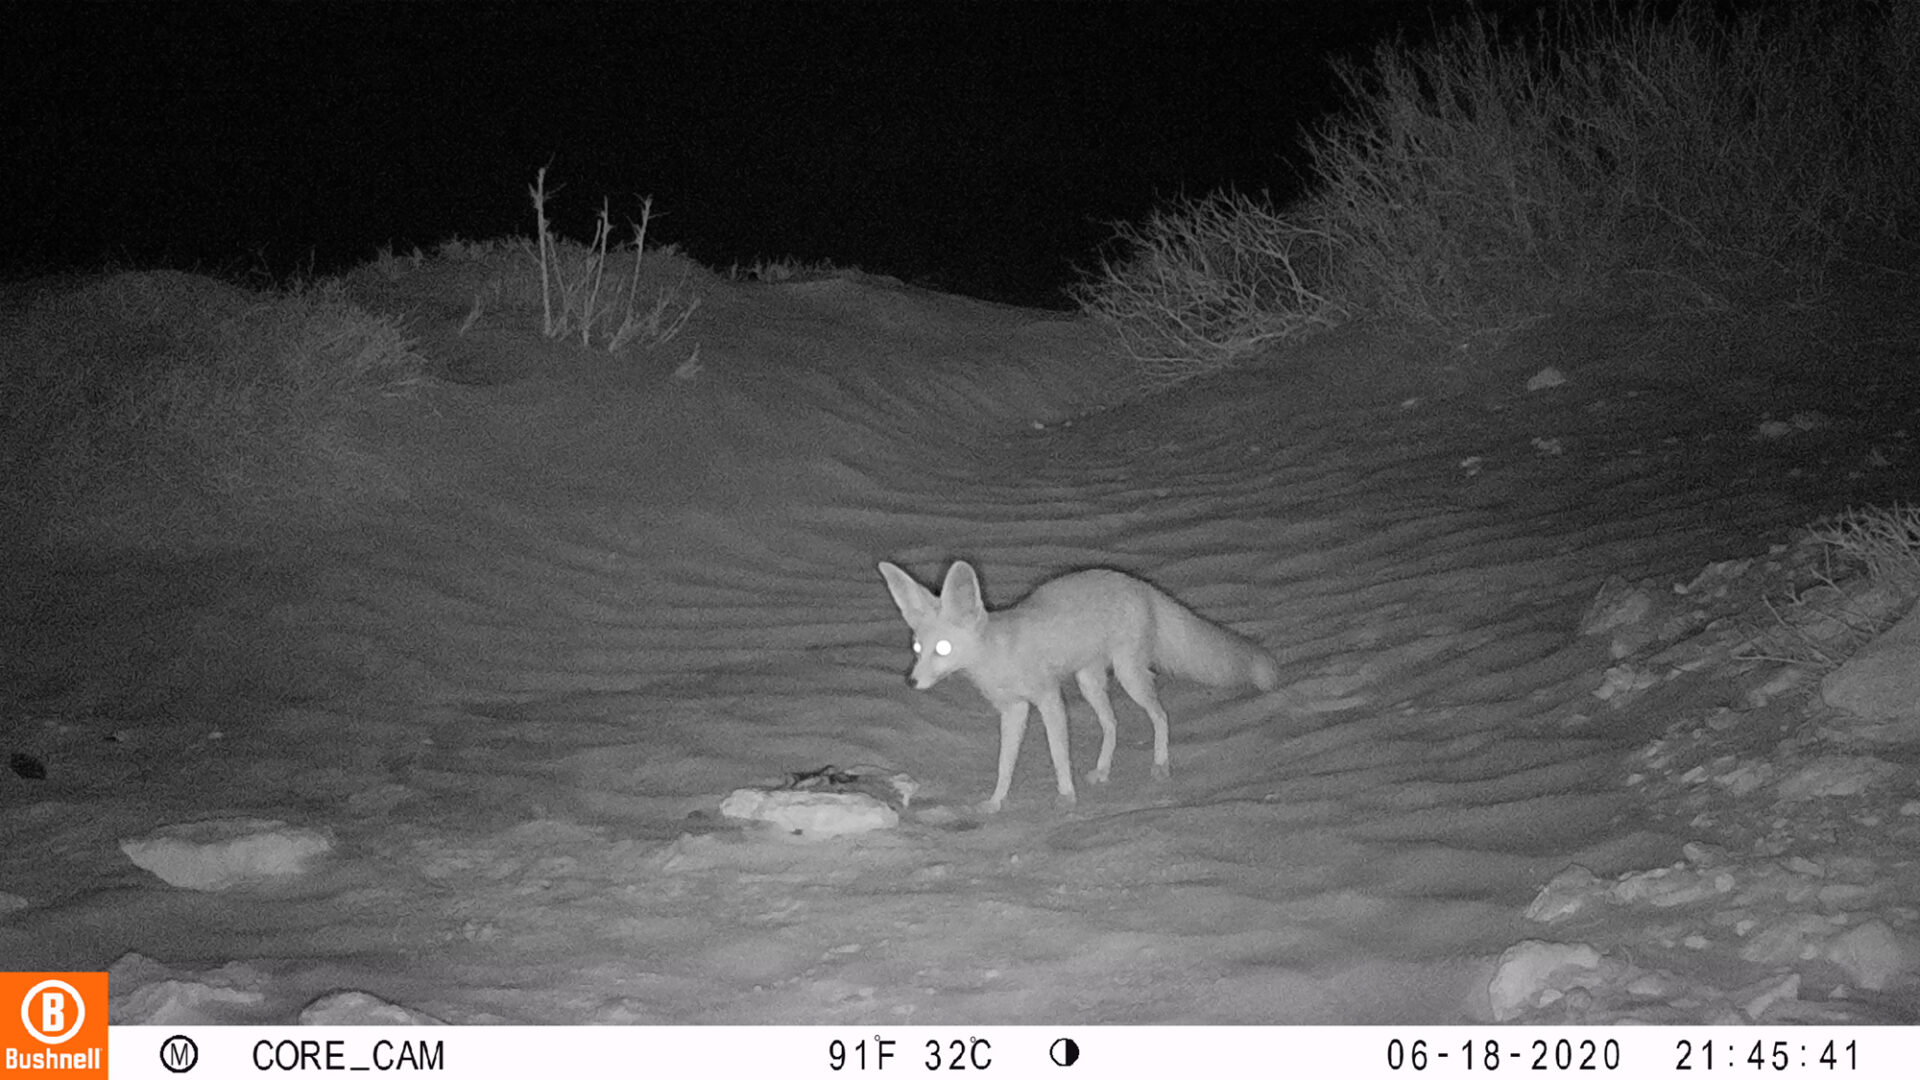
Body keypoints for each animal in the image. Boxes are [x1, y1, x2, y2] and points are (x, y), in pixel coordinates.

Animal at [879, 557, 1274, 810]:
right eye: (918, 648)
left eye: (943, 649)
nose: (912, 681)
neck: (1000, 655)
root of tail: (1138, 584)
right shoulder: (1013, 710)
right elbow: (1005, 764)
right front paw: (996, 800)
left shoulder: (1048, 698)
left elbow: (1058, 754)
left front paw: (1066, 796)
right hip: (1089, 682)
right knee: (1113, 724)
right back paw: (1103, 771)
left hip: (1129, 675)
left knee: (1160, 715)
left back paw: (1161, 764)